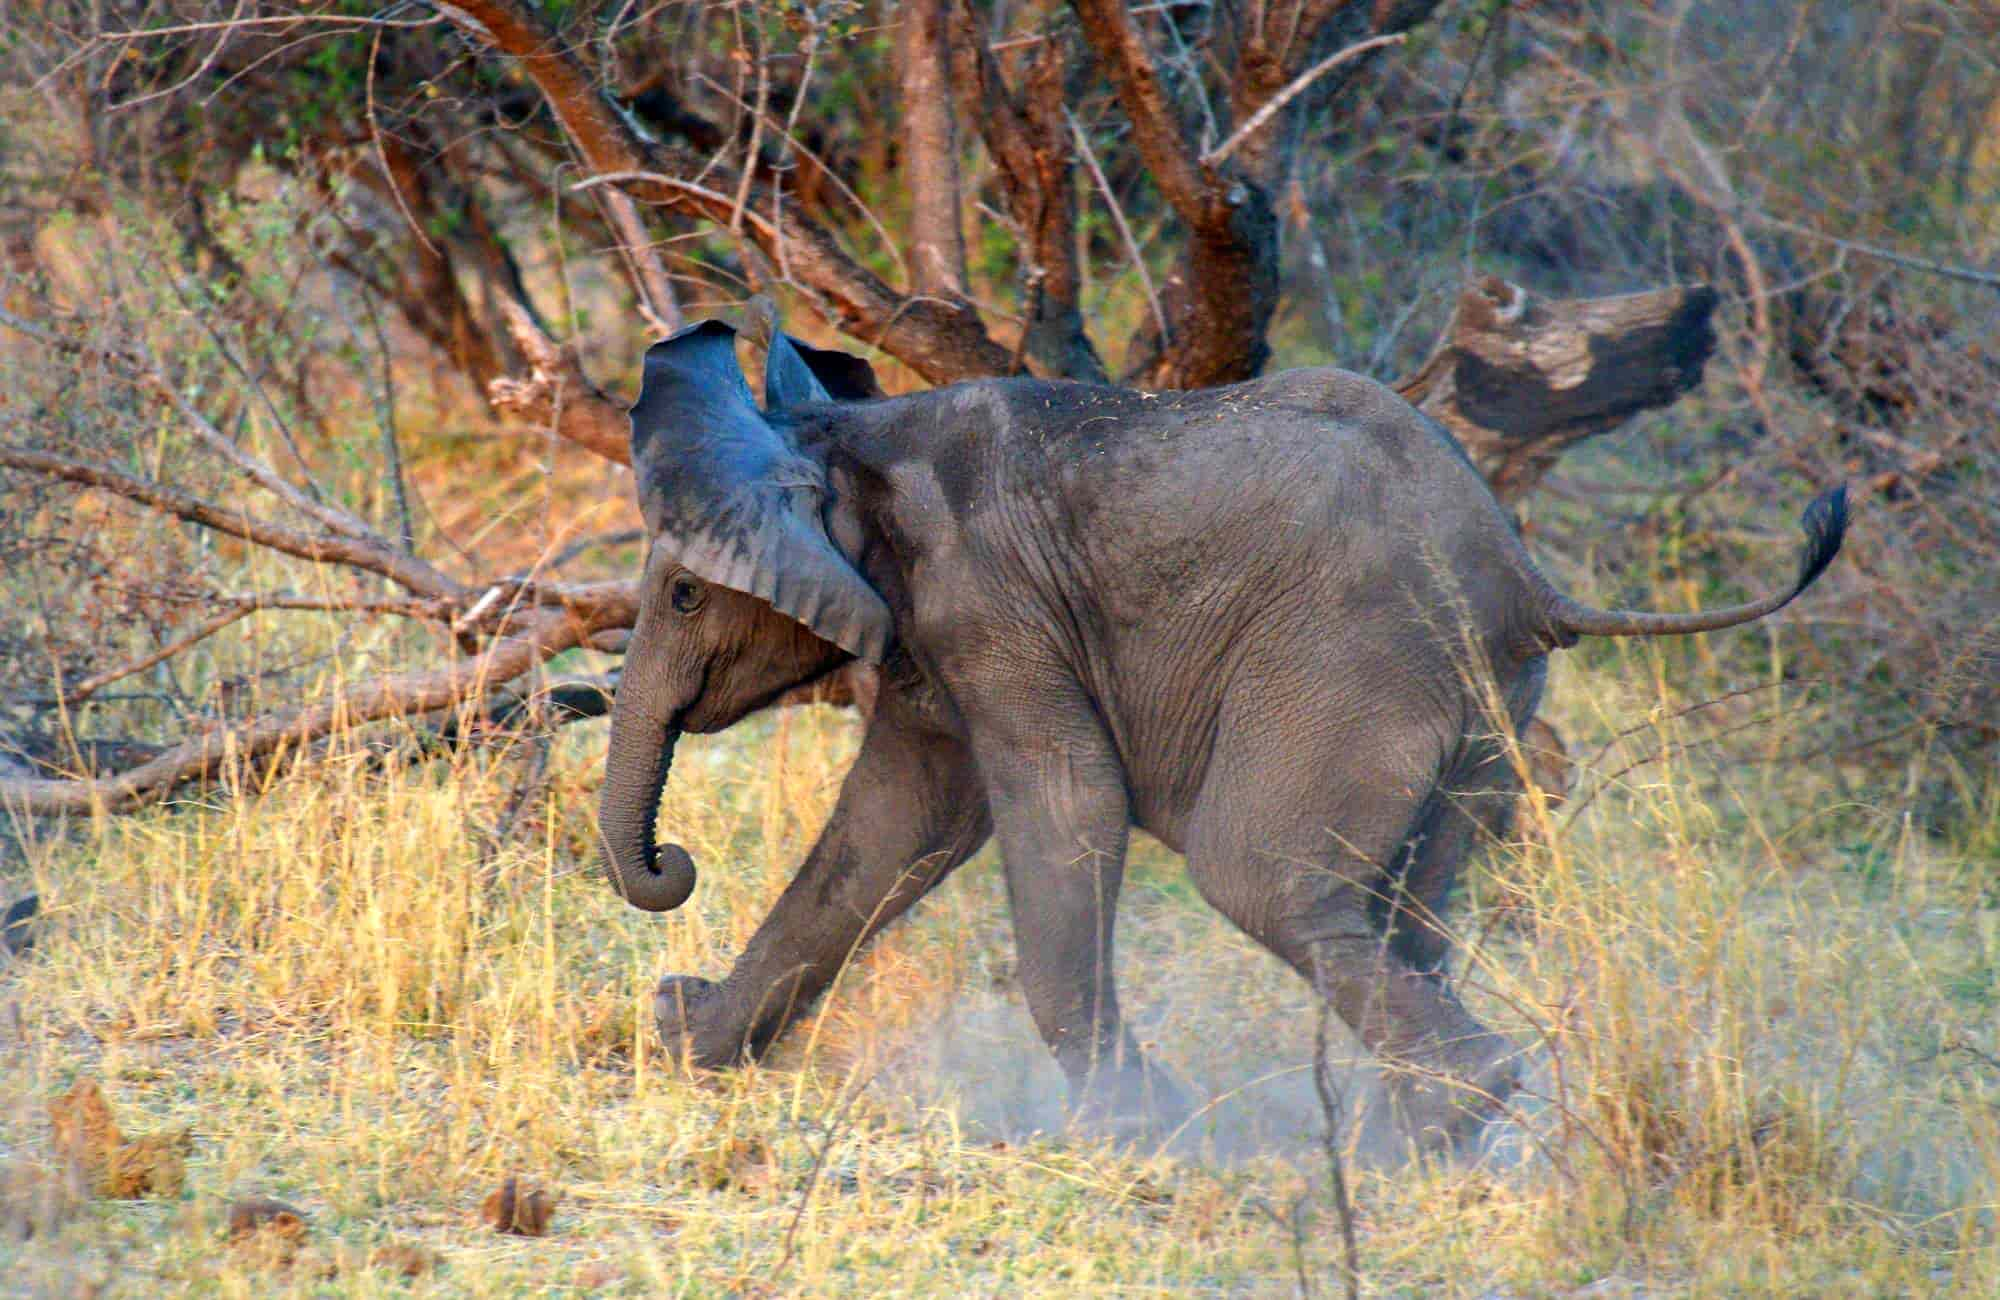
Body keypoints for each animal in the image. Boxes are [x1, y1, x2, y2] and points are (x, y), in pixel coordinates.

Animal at [592, 314, 1840, 1144]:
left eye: (684, 595)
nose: (673, 863)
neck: (840, 427)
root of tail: (1529, 580)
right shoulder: (928, 635)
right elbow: (891, 827)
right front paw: (688, 1041)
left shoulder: (985, 602)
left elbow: (1063, 806)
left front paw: (1129, 1128)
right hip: (1485, 707)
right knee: (1405, 905)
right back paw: (1412, 1143)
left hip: (1351, 666)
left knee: (1260, 875)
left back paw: (1440, 1120)